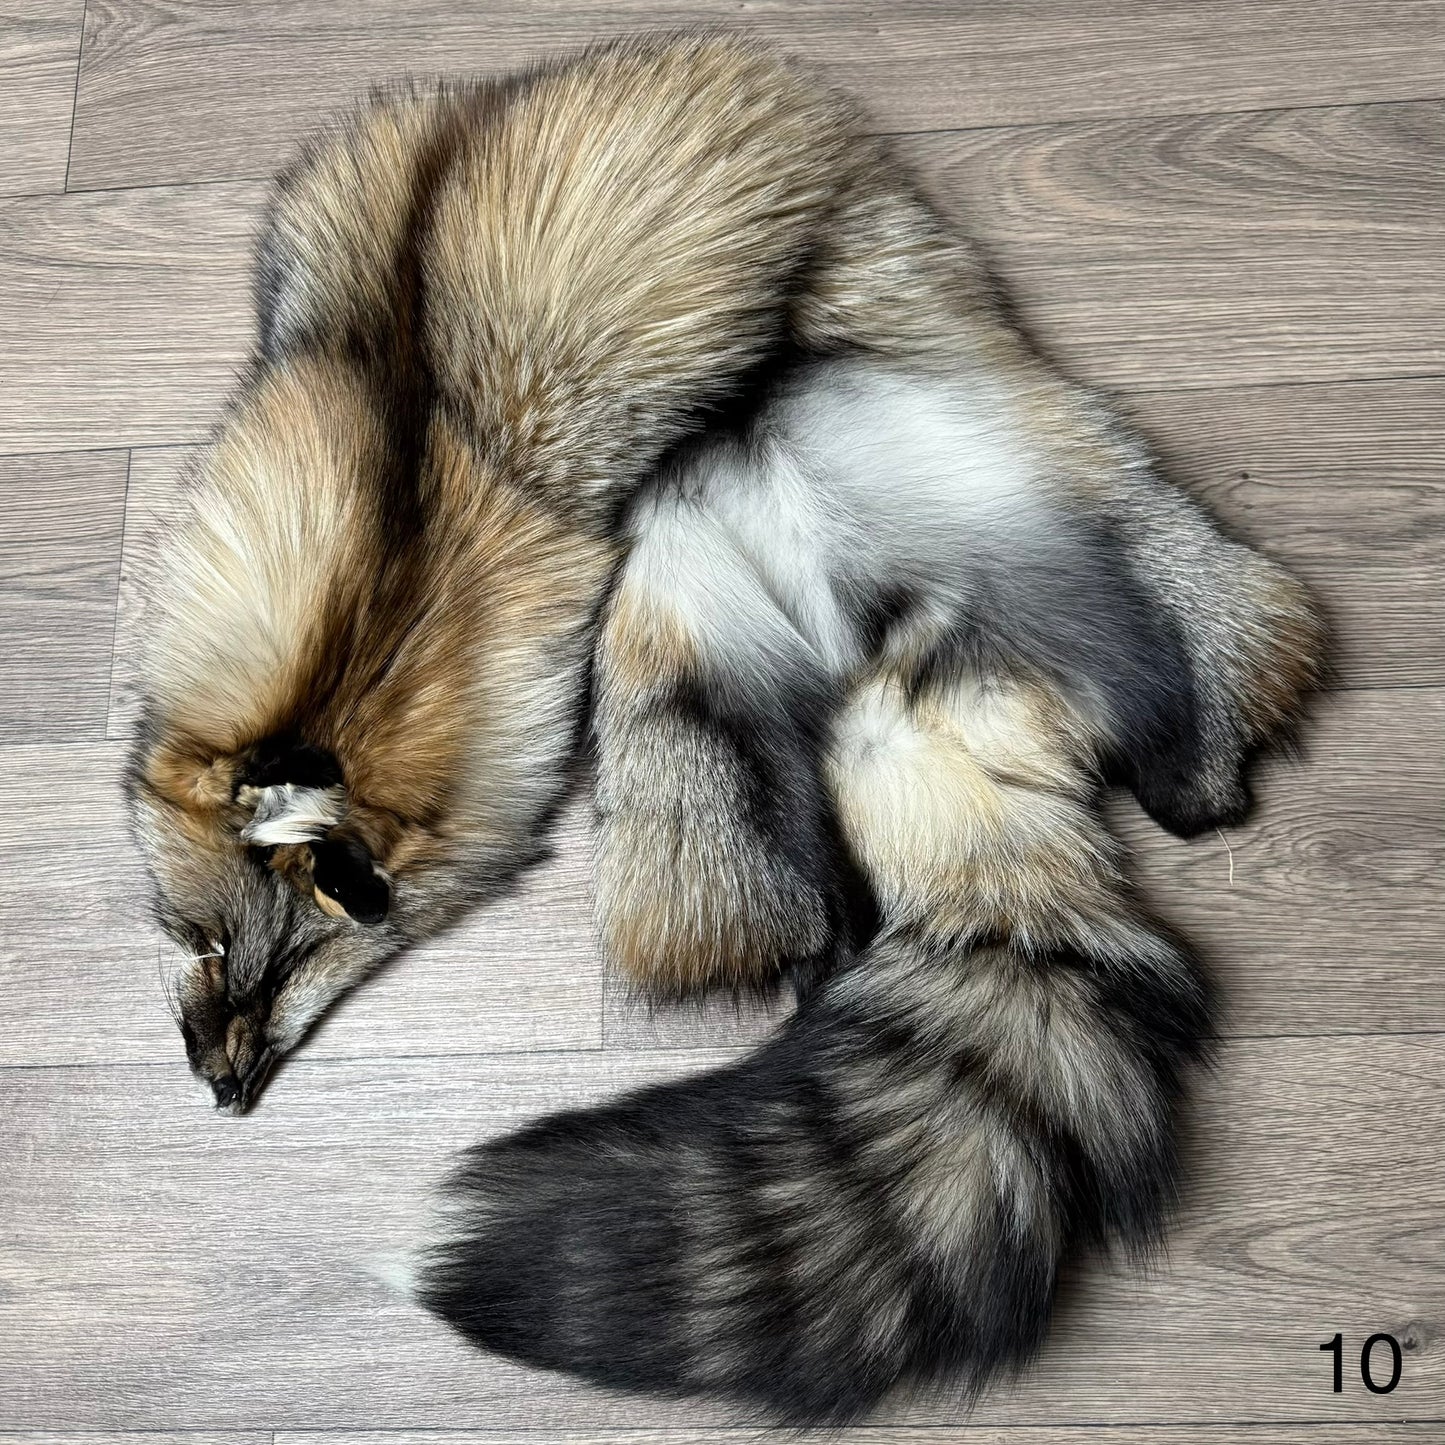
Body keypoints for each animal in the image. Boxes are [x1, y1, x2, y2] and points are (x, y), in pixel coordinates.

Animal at [121, 32, 1323, 1426]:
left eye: (280, 961)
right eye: (200, 944)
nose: (217, 1091)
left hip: (919, 590)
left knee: (1153, 679)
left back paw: (1195, 765)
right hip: (731, 673)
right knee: (841, 892)